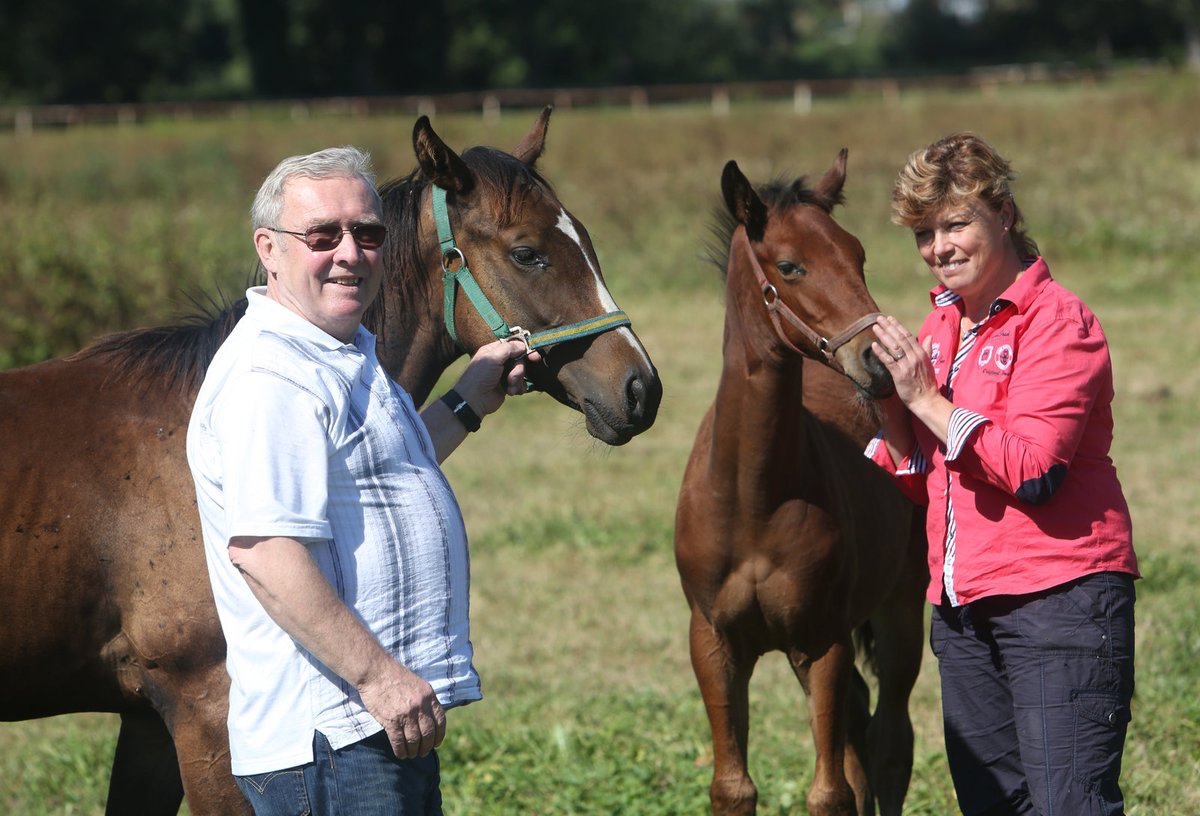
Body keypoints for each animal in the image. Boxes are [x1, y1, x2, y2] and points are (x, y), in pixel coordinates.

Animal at [676, 153, 926, 816]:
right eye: (790, 266)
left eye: (859, 255)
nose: (878, 363)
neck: (752, 497)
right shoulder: (714, 642)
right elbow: (733, 787)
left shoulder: (823, 639)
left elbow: (829, 793)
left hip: (900, 610)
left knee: (891, 739)